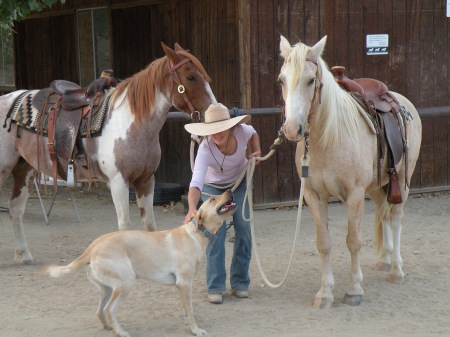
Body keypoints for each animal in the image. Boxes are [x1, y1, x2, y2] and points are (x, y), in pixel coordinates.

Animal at [0, 41, 218, 262]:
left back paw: (24, 255)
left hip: (25, 170)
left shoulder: (146, 181)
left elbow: (150, 227)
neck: (131, 123)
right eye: (190, 77)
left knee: (15, 209)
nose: (213, 110)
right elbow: (125, 228)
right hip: (5, 169)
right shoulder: (118, 182)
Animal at [44, 190, 237, 334]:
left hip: (107, 288)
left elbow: (185, 310)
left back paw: (109, 326)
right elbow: (190, 311)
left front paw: (188, 324)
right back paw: (120, 332)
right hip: (126, 282)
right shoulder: (185, 283)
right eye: (212, 199)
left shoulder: (181, 286)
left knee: (100, 311)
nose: (230, 190)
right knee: (109, 309)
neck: (196, 234)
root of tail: (92, 247)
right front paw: (195, 330)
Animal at [278, 36, 422, 308]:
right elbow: (323, 244)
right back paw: (384, 260)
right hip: (377, 187)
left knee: (396, 218)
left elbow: (353, 241)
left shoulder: (354, 194)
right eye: (281, 79)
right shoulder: (314, 196)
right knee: (383, 212)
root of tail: (402, 101)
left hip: (402, 181)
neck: (327, 138)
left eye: (310, 80)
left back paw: (396, 269)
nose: (292, 129)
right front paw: (325, 293)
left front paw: (354, 290)